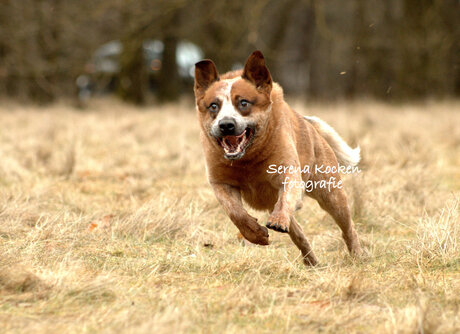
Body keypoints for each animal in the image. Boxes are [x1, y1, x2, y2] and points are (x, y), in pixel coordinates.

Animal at [194, 51, 362, 264]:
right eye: (213, 106)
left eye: (243, 103)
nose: (226, 125)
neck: (247, 160)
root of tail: (310, 127)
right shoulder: (220, 183)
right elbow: (235, 212)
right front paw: (256, 234)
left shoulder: (288, 172)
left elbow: (286, 198)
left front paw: (278, 219)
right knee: (299, 234)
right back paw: (311, 262)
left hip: (330, 193)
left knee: (347, 226)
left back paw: (357, 254)